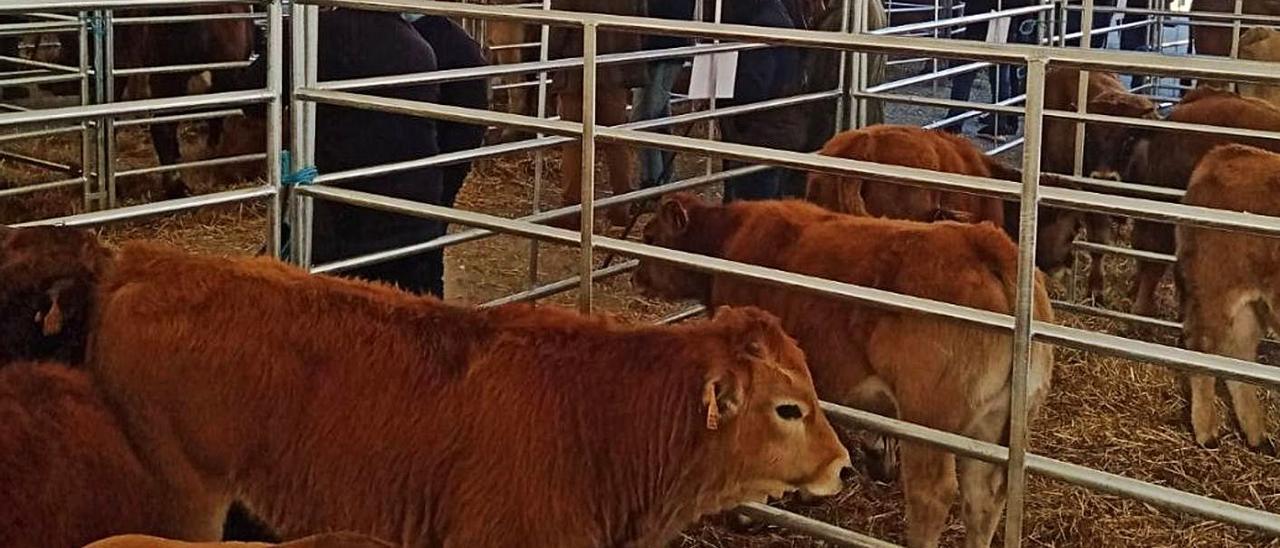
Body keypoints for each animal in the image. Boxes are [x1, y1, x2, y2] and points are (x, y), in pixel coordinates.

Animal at [632, 192, 1059, 548]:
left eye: (650, 237)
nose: (635, 277)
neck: (728, 239)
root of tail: (985, 244)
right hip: (994, 426)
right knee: (982, 498)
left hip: (929, 419)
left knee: (933, 493)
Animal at [1044, 66, 1167, 302]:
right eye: (1088, 137)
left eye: (1129, 139)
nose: (1103, 177)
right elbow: (1098, 244)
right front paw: (1096, 289)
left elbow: (1144, 246)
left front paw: (1135, 289)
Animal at [1177, 143, 1280, 450]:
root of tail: (1227, 151)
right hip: (1216, 291)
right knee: (1204, 348)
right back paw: (1207, 432)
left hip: (1251, 305)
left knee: (1238, 358)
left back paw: (1257, 436)